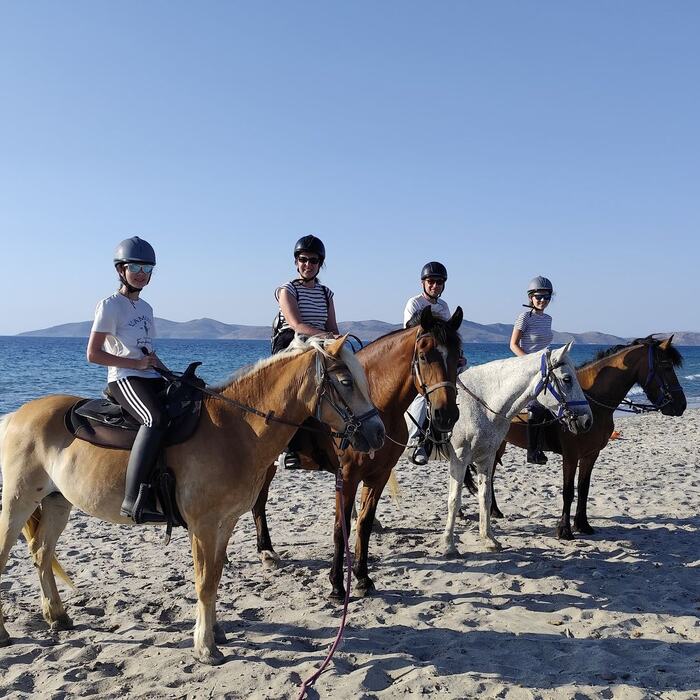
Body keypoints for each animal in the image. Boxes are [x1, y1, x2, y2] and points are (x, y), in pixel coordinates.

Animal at [0, 336, 385, 664]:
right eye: (345, 381)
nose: (378, 433)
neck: (236, 428)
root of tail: (15, 415)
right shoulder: (202, 525)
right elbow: (203, 583)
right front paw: (205, 647)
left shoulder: (224, 523)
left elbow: (214, 577)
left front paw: (215, 632)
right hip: (18, 502)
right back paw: (8, 634)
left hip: (56, 502)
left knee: (41, 554)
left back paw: (57, 616)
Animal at [252, 306, 464, 599]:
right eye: (424, 355)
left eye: (458, 356)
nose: (447, 415)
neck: (376, 401)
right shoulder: (348, 476)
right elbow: (340, 529)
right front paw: (336, 585)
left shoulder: (379, 475)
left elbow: (364, 524)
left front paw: (363, 578)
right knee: (259, 501)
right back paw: (266, 551)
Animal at [442, 343, 593, 555]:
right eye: (567, 379)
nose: (587, 421)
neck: (480, 403)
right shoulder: (460, 457)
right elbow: (454, 500)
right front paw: (448, 544)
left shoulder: (485, 457)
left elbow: (485, 497)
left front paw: (489, 539)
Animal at [489, 336, 686, 539]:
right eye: (666, 367)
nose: (682, 405)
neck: (592, 402)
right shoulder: (571, 455)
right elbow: (568, 491)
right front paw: (565, 530)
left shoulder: (591, 454)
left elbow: (584, 489)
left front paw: (582, 524)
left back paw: (494, 510)